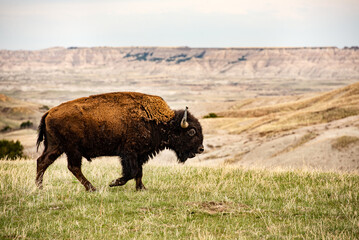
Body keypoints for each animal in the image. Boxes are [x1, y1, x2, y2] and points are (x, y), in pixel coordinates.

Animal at [37, 92, 205, 191]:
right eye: (191, 131)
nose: (201, 149)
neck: (159, 121)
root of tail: (49, 112)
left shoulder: (140, 154)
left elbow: (139, 171)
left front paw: (141, 188)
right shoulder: (129, 153)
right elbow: (132, 171)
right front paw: (114, 182)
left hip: (55, 146)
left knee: (43, 161)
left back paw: (39, 187)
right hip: (72, 149)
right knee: (73, 167)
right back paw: (92, 188)